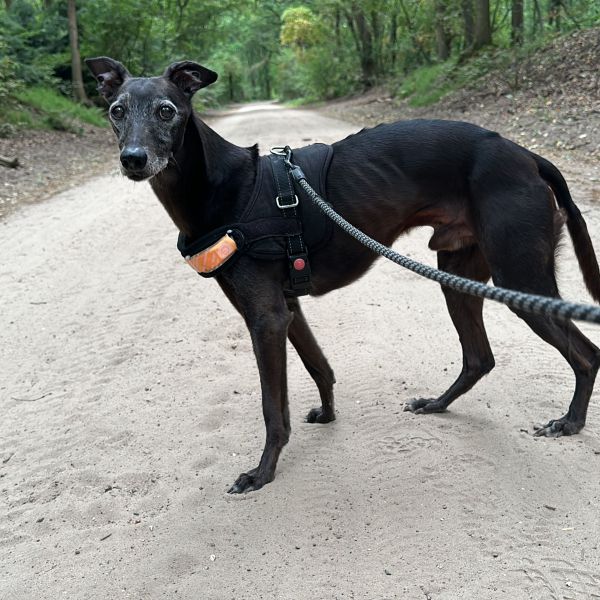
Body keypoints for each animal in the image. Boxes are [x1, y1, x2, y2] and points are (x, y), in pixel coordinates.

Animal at [85, 58, 600, 494]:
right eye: (116, 111)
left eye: (166, 110)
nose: (133, 159)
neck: (228, 189)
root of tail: (527, 155)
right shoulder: (285, 309)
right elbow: (320, 366)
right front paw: (329, 415)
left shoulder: (266, 318)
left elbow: (273, 407)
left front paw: (262, 472)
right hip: (457, 274)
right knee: (479, 358)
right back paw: (437, 404)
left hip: (521, 279)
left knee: (587, 353)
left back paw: (569, 422)